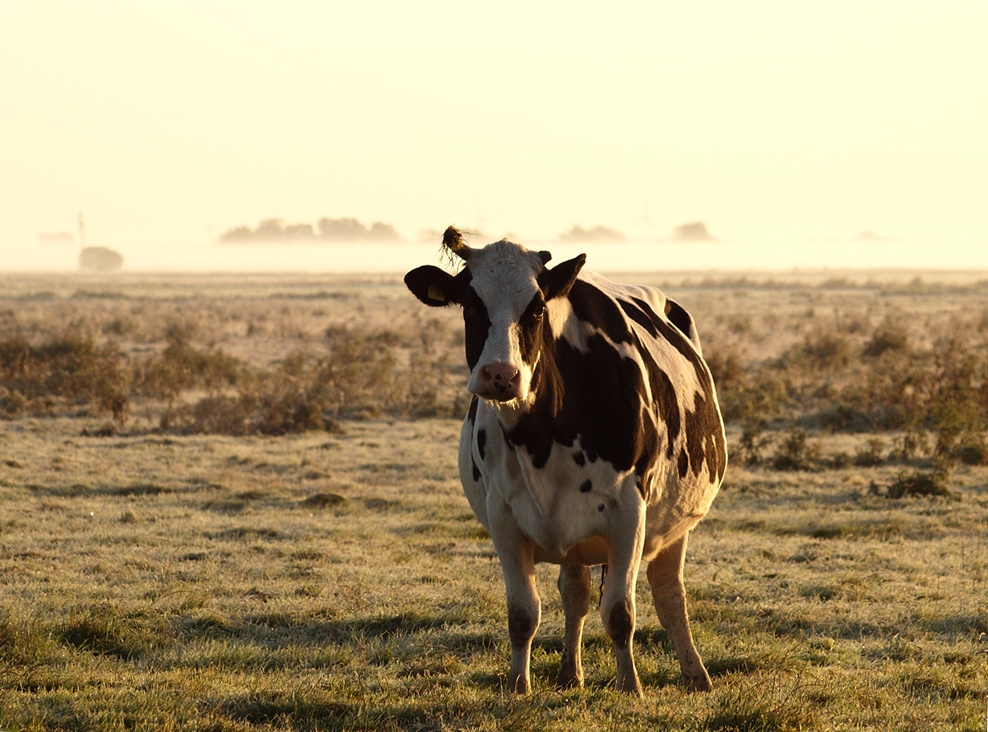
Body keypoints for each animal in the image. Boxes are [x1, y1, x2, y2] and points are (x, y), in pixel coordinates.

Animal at [406, 226, 728, 696]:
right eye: (469, 305)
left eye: (537, 308)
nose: (500, 375)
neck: (542, 436)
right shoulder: (503, 515)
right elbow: (523, 612)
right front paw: (518, 684)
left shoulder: (630, 510)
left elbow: (620, 612)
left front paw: (630, 687)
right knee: (575, 590)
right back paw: (569, 673)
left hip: (676, 520)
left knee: (669, 592)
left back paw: (696, 675)